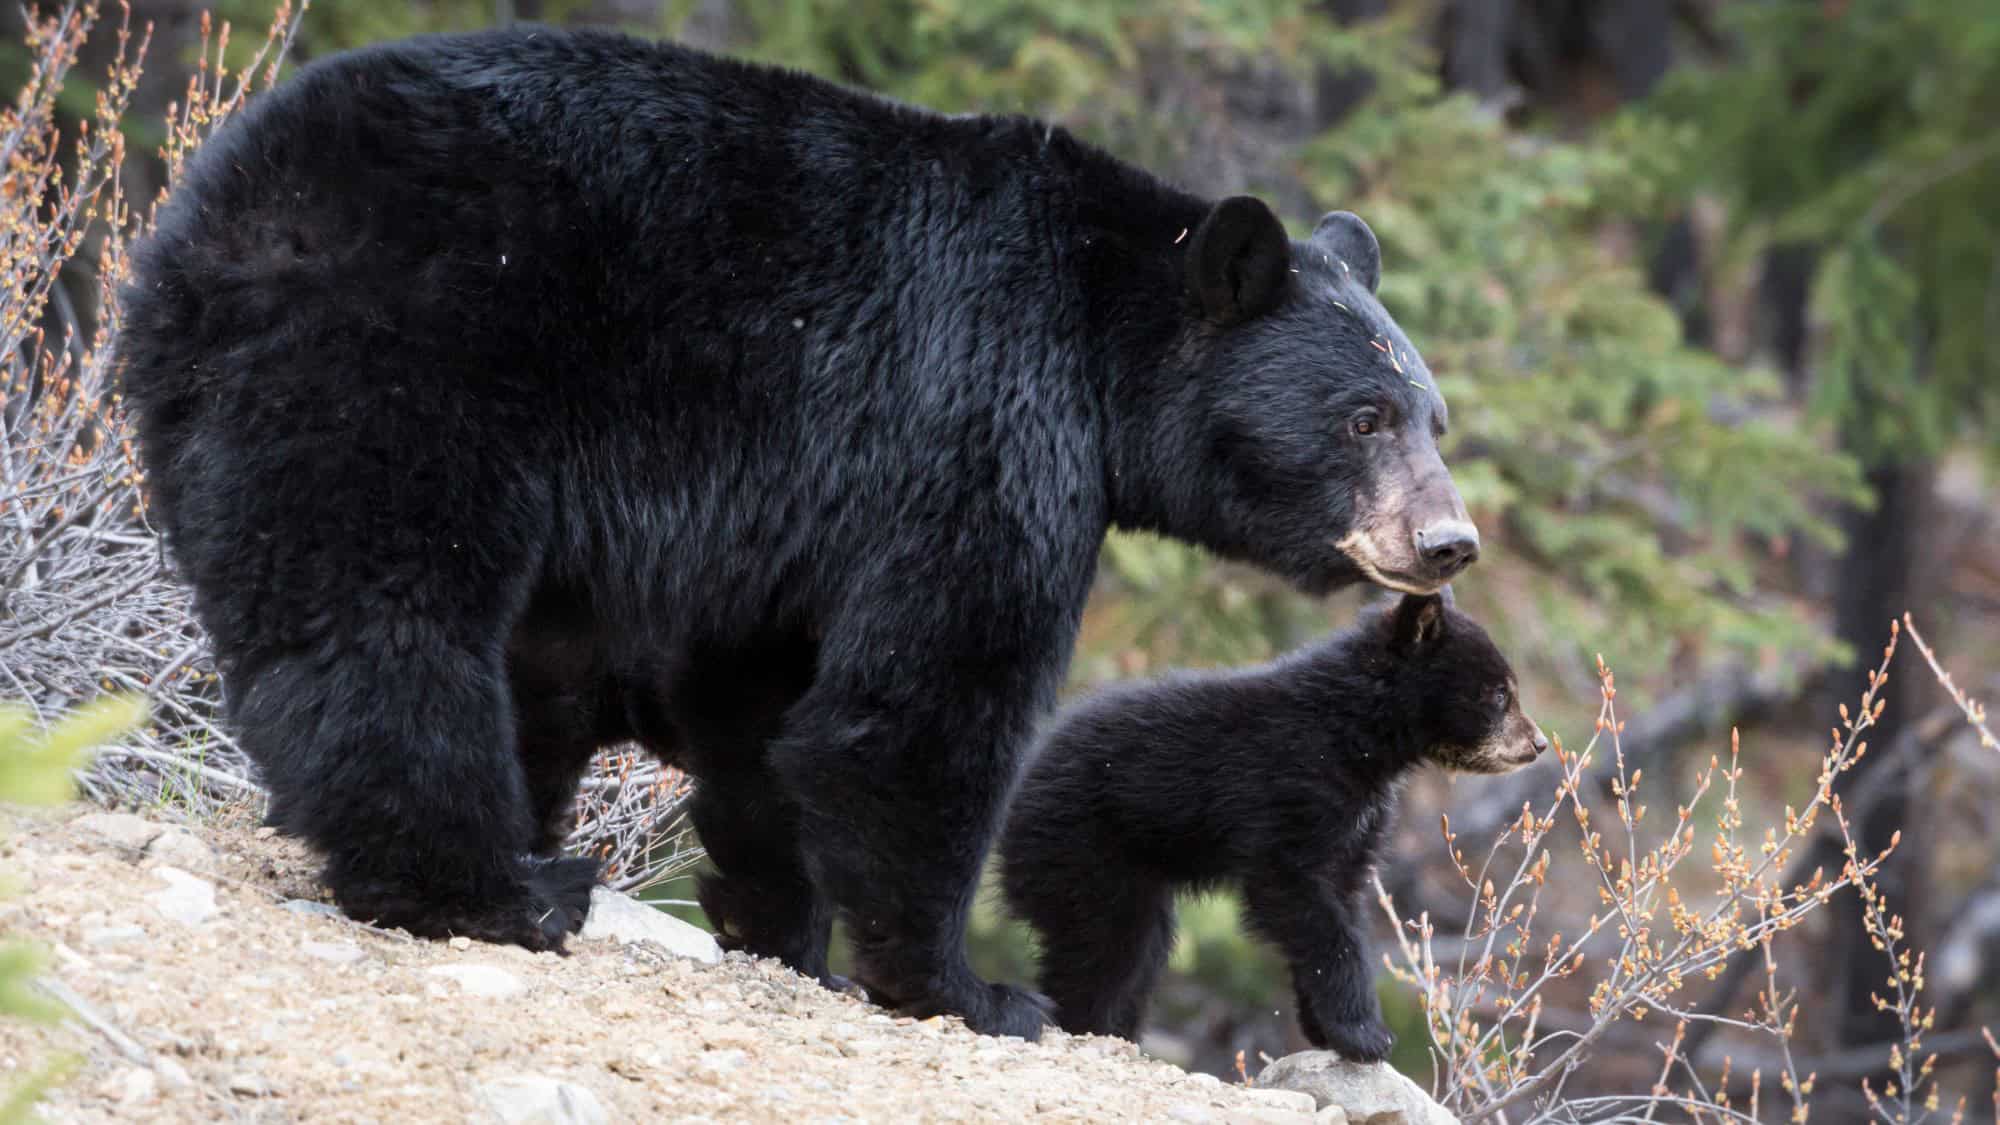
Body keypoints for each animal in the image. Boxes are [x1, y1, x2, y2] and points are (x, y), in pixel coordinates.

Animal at [114, 25, 1480, 1039]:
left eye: (1433, 417)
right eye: (1360, 418)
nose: (1447, 543)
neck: (1099, 337)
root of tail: (228, 202)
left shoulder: (788, 516)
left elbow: (762, 708)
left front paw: (786, 935)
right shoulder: (980, 417)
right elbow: (927, 699)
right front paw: (969, 989)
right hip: (411, 352)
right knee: (386, 614)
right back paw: (494, 887)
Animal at [998, 593, 1546, 1059]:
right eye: (1499, 693)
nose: (1538, 743)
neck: (1359, 735)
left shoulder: (1359, 821)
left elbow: (1338, 902)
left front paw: (1325, 1030)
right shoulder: (1291, 789)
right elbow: (1297, 896)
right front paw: (1365, 1035)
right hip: (1083, 851)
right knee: (1104, 948)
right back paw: (1088, 1025)